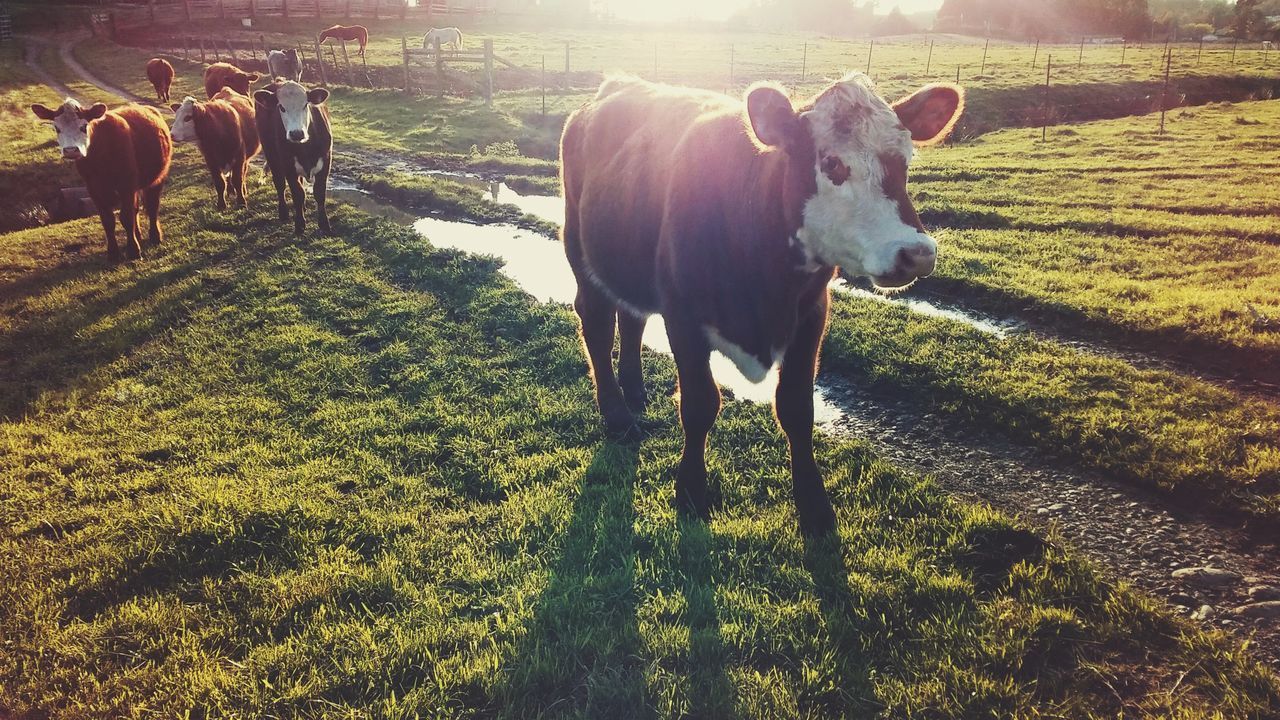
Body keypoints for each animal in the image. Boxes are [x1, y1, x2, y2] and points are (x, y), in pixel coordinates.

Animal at [30, 98, 172, 260]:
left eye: (84, 126)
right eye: (57, 128)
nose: (71, 150)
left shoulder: (126, 184)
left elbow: (126, 217)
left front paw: (133, 250)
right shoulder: (94, 188)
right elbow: (107, 220)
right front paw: (113, 253)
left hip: (157, 178)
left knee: (152, 206)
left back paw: (155, 236)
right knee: (136, 208)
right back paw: (138, 235)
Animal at [560, 74, 962, 532]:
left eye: (906, 160)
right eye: (832, 164)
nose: (917, 253)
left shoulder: (811, 315)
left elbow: (797, 409)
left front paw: (815, 507)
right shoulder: (683, 315)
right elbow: (700, 404)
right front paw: (691, 491)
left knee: (632, 319)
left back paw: (636, 390)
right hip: (579, 251)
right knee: (597, 325)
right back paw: (617, 414)